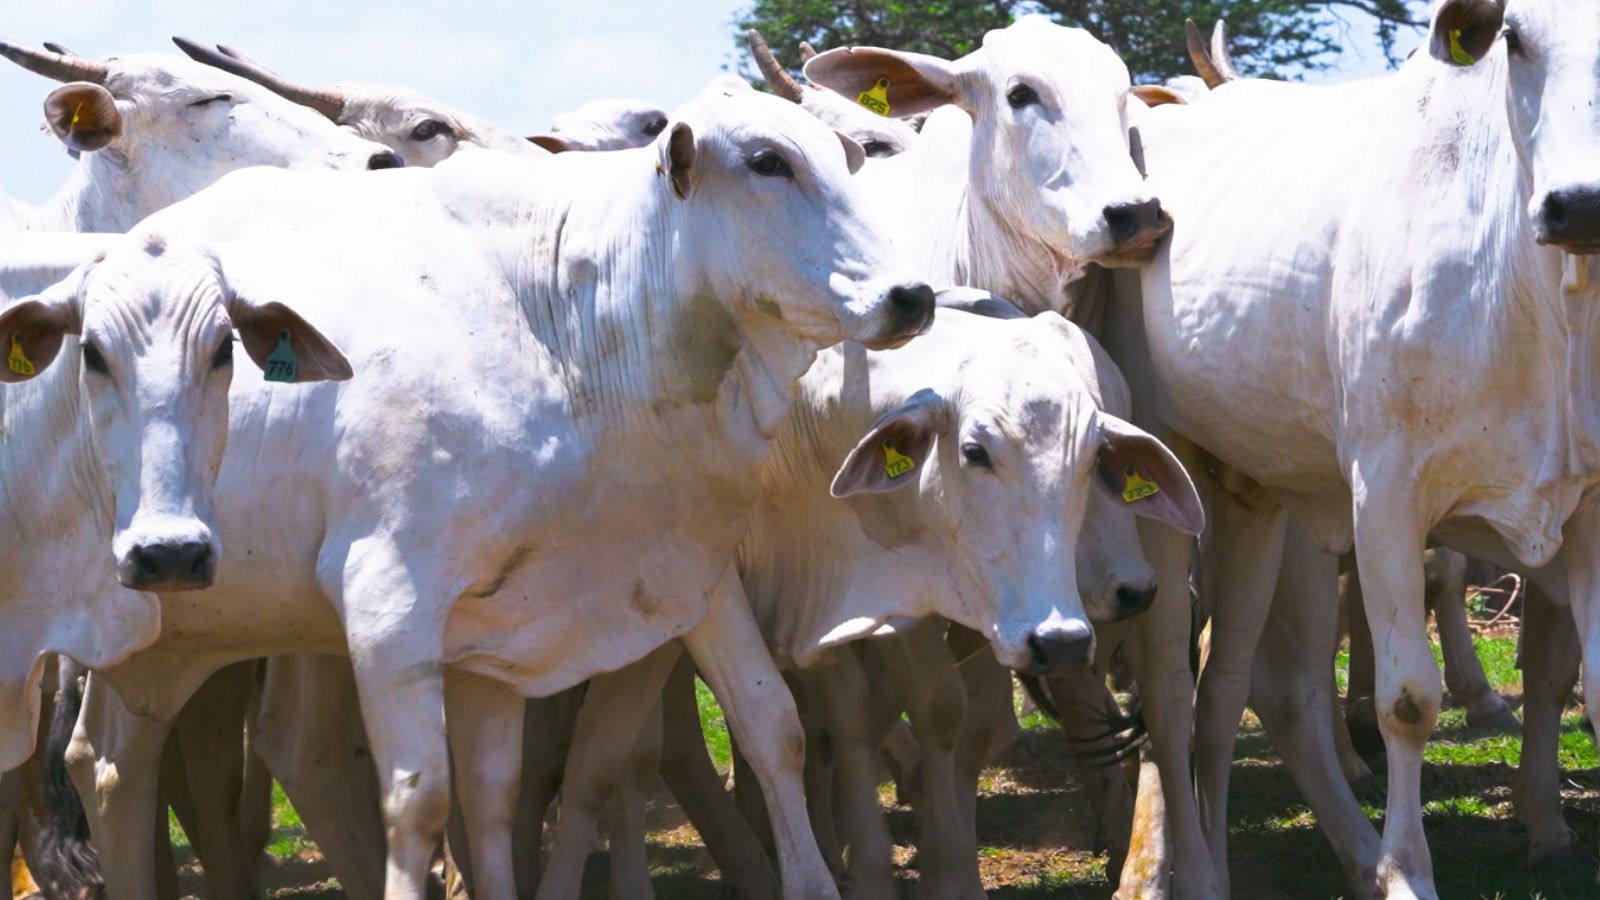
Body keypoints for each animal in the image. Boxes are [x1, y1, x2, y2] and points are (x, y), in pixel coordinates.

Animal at [62, 85, 934, 896]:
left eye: (845, 156)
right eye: (767, 161)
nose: (914, 296)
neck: (572, 330)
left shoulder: (677, 569)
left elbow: (767, 724)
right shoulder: (388, 602)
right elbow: (419, 802)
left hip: (174, 629)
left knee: (109, 760)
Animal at [1100, 3, 1600, 890]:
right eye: (1516, 38)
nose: (1580, 207)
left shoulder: (1591, 507)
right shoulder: (1389, 495)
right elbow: (1408, 701)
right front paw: (1407, 874)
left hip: (1255, 498)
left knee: (1235, 686)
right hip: (1161, 473)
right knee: (1171, 686)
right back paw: (1175, 869)